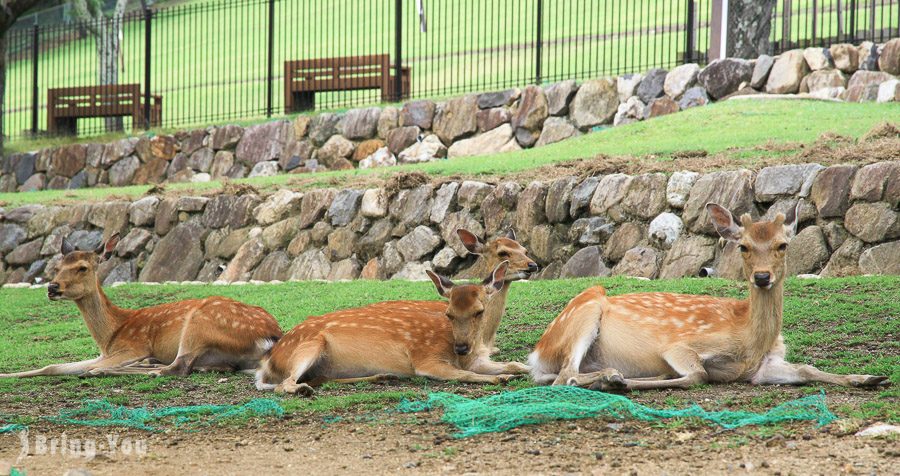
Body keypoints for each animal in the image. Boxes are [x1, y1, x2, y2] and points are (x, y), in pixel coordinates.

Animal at [0, 235, 284, 380]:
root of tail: (271, 336)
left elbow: (91, 365)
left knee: (174, 368)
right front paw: (6, 376)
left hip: (199, 324)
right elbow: (53, 367)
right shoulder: (104, 353)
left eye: (82, 267)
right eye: (57, 267)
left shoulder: (131, 347)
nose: (52, 287)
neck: (110, 335)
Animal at [253, 229, 536, 396]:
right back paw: (302, 390)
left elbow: (514, 363)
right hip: (308, 346)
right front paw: (502, 378)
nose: (532, 265)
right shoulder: (425, 358)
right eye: (503, 252)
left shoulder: (478, 357)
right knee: (283, 385)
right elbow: (464, 374)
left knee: (319, 378)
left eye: (524, 249)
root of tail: (268, 360)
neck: (484, 339)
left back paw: (382, 376)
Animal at [532, 203, 888, 392]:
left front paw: (871, 377)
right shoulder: (679, 345)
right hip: (585, 308)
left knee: (561, 375)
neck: (748, 340)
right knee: (564, 376)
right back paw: (612, 378)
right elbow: (698, 374)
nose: (762, 277)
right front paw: (624, 382)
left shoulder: (763, 368)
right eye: (743, 246)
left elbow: (807, 369)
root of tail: (537, 353)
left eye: (782, 244)